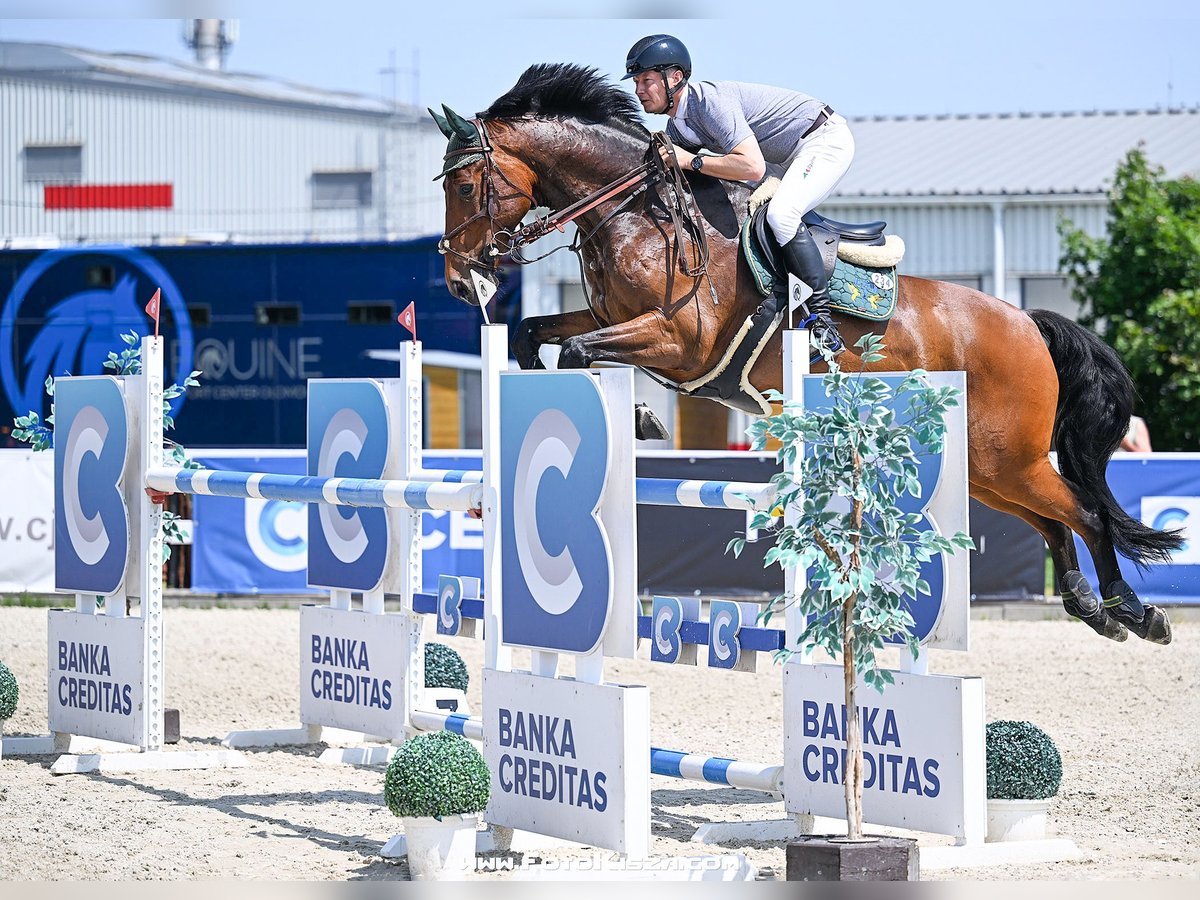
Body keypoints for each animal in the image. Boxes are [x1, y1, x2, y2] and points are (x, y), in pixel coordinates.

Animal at [434, 60, 1180, 643]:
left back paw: (1135, 611)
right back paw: (1089, 605)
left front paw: (642, 420)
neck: (637, 213)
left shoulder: (676, 339)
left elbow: (578, 351)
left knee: (1084, 513)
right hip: (987, 468)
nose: (459, 279)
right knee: (1054, 522)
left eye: (465, 186)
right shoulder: (610, 315)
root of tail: (1026, 321)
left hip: (1009, 457)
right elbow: (535, 335)